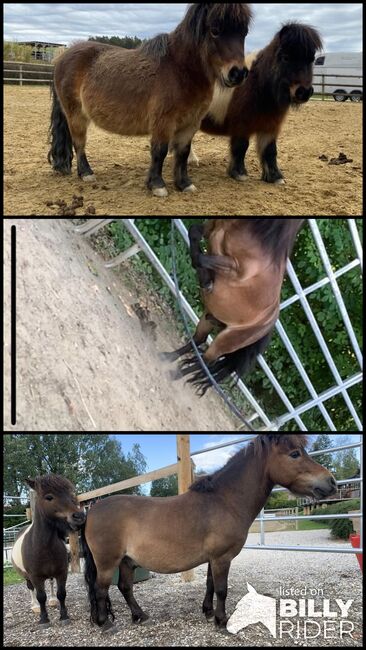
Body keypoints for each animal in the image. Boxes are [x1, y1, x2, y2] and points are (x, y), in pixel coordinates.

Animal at [47, 3, 252, 196]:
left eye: (244, 32)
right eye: (215, 30)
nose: (238, 73)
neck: (180, 70)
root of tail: (62, 58)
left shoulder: (190, 123)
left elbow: (183, 153)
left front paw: (184, 184)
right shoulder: (163, 122)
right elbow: (159, 151)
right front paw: (157, 185)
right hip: (76, 115)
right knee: (79, 143)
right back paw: (86, 173)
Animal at [163, 218, 304, 392]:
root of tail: (268, 325)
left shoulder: (237, 268)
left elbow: (201, 259)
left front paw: (207, 282)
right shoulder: (210, 229)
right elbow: (194, 232)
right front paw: (206, 281)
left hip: (225, 341)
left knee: (207, 361)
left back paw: (175, 374)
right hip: (208, 319)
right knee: (199, 340)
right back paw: (167, 357)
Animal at [196, 22, 322, 184]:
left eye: (311, 59)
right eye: (286, 57)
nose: (304, 92)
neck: (257, 87)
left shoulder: (270, 126)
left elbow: (270, 150)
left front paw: (275, 177)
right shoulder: (242, 126)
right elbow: (241, 147)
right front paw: (239, 173)